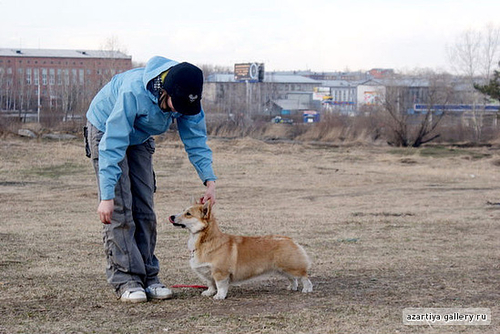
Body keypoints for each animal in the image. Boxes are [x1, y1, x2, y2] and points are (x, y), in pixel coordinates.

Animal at [170, 201, 314, 300]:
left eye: (188, 214)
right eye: (183, 210)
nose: (171, 216)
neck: (205, 240)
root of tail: (290, 239)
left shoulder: (220, 272)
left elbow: (220, 285)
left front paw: (219, 296)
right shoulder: (208, 272)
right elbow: (210, 283)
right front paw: (209, 292)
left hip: (291, 267)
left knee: (304, 276)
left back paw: (307, 289)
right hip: (282, 269)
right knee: (292, 279)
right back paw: (292, 287)